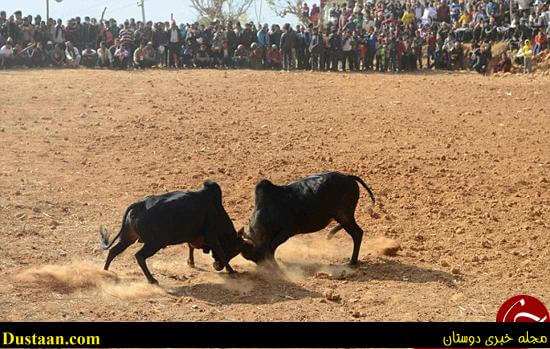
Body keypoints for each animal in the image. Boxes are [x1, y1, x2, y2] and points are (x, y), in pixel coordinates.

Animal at [99, 179, 246, 282]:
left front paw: (191, 263)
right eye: (234, 250)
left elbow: (191, 247)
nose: (218, 266)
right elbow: (220, 251)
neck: (215, 209)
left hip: (129, 237)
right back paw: (152, 280)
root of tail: (140, 204)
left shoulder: (192, 236)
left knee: (113, 251)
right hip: (154, 243)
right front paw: (231, 271)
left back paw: (105, 272)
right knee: (139, 256)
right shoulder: (211, 236)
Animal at [240, 173, 376, 266]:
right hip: (344, 216)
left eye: (257, 254)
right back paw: (330, 234)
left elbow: (272, 246)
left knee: (357, 233)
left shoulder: (287, 231)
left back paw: (352, 262)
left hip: (344, 216)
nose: (266, 268)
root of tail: (349, 177)